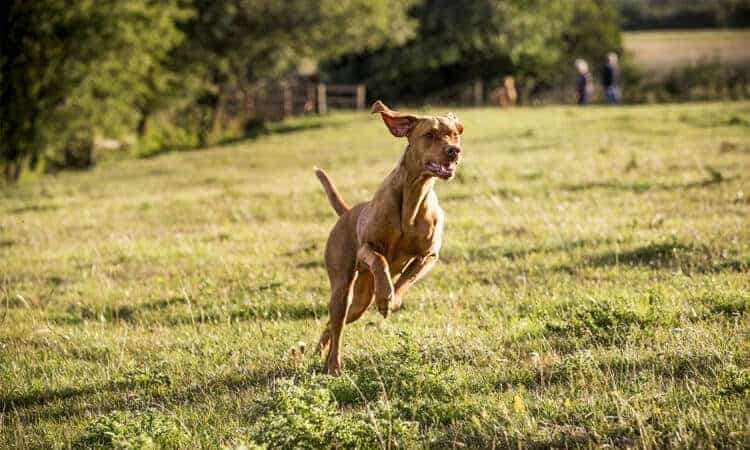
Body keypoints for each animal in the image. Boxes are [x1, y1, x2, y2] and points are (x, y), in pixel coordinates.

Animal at [312, 100, 464, 374]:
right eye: (430, 135)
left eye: (455, 134)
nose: (454, 151)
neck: (414, 196)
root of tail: (347, 211)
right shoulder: (367, 249)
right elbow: (380, 260)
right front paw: (385, 297)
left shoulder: (429, 256)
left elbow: (407, 278)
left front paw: (392, 300)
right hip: (342, 289)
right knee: (337, 324)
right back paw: (332, 365)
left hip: (359, 302)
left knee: (333, 324)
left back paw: (318, 354)